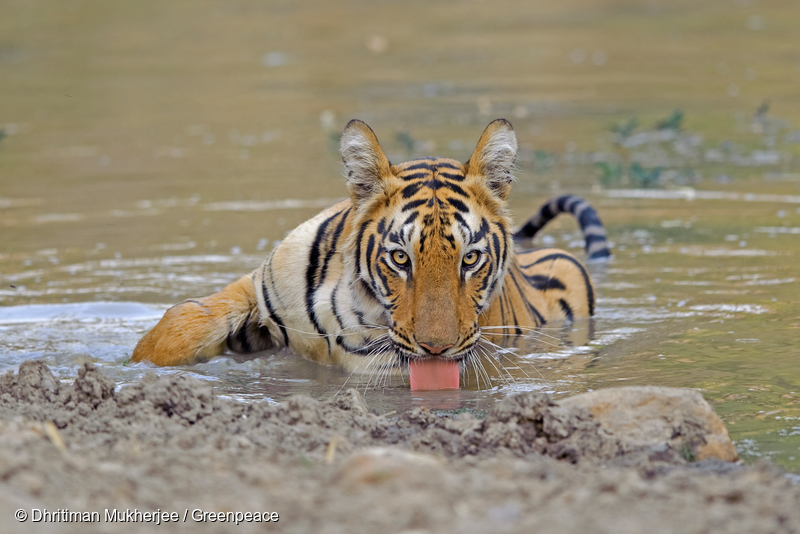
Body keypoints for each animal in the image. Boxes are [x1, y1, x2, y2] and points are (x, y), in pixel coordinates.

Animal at [133, 120, 608, 390]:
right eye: (400, 259)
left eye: (470, 259)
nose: (436, 349)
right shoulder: (259, 288)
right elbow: (178, 321)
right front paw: (138, 363)